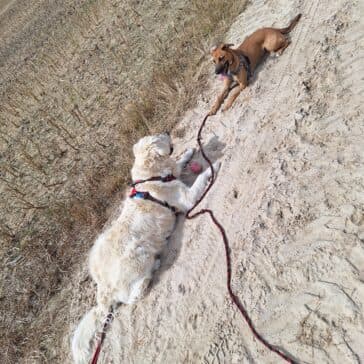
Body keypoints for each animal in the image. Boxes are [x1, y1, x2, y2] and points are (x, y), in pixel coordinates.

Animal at [71, 134, 219, 364]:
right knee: (132, 296)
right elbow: (201, 177)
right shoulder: (187, 198)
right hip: (138, 254)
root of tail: (103, 288)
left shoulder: (173, 172)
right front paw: (215, 166)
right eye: (162, 137)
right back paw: (152, 270)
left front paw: (188, 152)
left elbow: (179, 161)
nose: (167, 131)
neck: (151, 178)